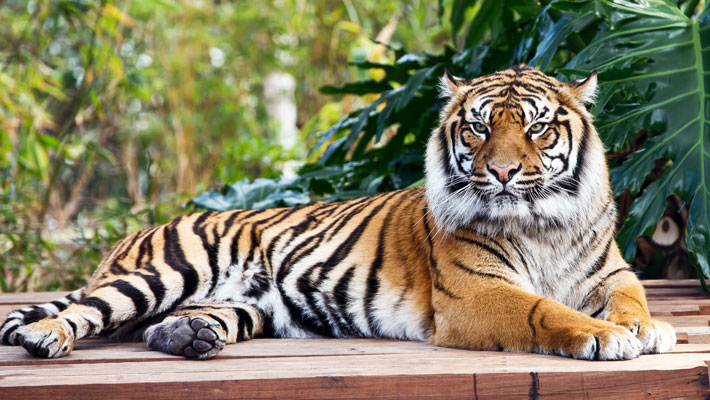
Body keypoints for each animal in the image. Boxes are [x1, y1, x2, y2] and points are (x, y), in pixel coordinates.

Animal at [0, 65, 680, 360]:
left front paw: (646, 328)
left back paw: (188, 336)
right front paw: (606, 337)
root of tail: (144, 228)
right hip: (168, 270)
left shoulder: (613, 273)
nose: (503, 172)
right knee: (90, 312)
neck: (544, 223)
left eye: (537, 128)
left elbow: (631, 299)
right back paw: (45, 337)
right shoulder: (475, 293)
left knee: (160, 325)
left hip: (249, 304)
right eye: (480, 128)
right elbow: (547, 310)